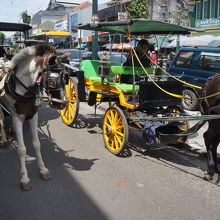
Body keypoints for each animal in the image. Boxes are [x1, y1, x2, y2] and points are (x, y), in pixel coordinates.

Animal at [0, 44, 69, 189]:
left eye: (66, 78)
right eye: (51, 81)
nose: (63, 104)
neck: (24, 89)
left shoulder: (33, 115)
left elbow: (37, 144)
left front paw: (43, 169)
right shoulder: (18, 117)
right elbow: (22, 149)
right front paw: (24, 178)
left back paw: (11, 131)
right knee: (1, 119)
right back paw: (3, 139)